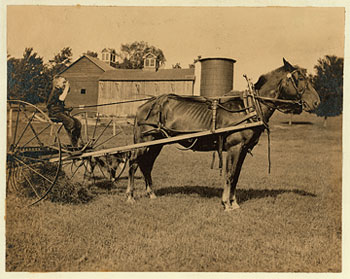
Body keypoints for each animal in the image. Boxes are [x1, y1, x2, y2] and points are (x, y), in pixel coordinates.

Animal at [126, 59, 320, 212]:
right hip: (144, 141)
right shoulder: (234, 147)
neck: (249, 108)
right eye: (299, 78)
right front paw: (226, 203)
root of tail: (144, 105)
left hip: (156, 143)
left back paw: (151, 194)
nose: (316, 102)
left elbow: (236, 175)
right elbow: (230, 174)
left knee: (147, 165)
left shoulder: (243, 149)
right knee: (134, 162)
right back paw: (130, 196)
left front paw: (234, 203)